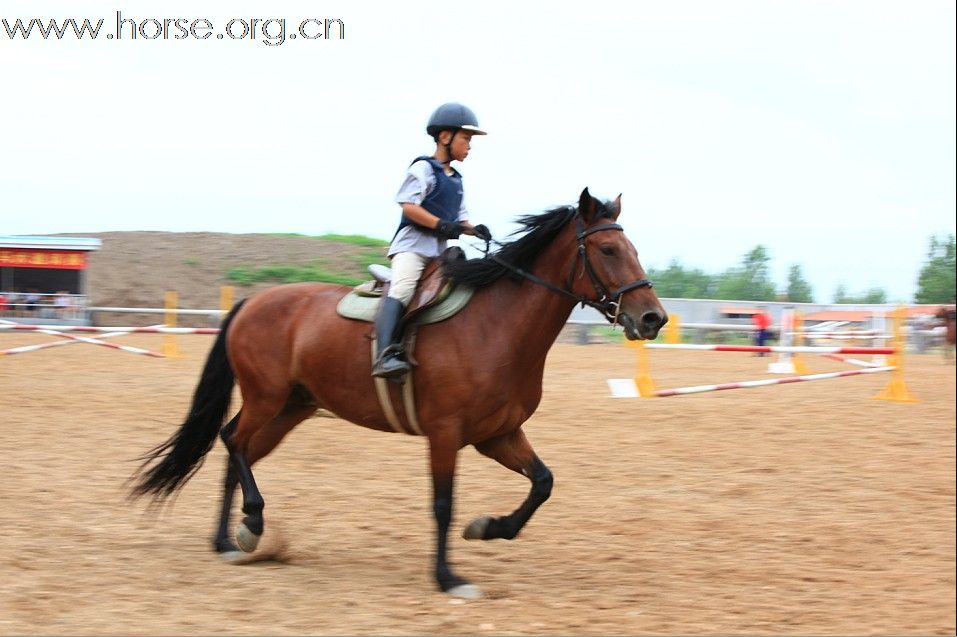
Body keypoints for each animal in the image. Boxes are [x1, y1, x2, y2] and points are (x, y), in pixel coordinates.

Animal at [131, 188, 668, 596]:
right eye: (608, 251)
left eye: (632, 248)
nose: (653, 318)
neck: (496, 326)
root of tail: (252, 301)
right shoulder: (445, 434)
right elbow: (443, 505)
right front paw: (448, 577)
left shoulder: (498, 434)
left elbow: (542, 483)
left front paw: (489, 528)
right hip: (266, 399)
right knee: (232, 441)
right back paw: (251, 525)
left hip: (291, 409)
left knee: (237, 447)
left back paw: (230, 538)